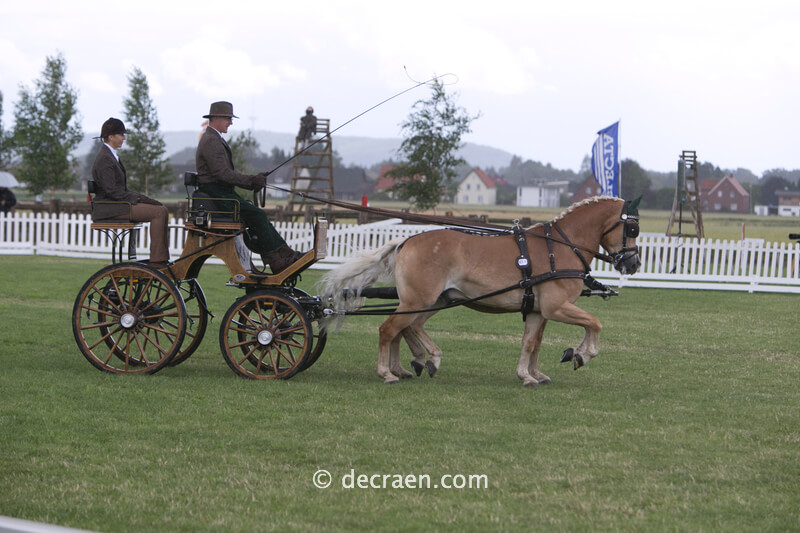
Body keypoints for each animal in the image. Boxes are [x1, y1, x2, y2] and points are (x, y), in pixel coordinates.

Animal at [319, 196, 641, 386]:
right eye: (632, 229)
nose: (634, 263)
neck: (560, 248)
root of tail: (407, 241)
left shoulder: (538, 311)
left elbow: (531, 343)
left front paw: (529, 375)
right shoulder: (557, 307)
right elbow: (594, 324)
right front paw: (582, 354)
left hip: (432, 300)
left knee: (408, 328)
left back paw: (421, 360)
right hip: (418, 299)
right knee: (389, 329)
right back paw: (388, 372)